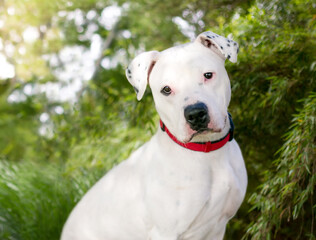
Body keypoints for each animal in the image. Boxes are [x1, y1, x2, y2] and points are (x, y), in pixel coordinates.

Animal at [61, 31, 248, 239]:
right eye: (166, 89)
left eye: (208, 75)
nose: (195, 114)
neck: (207, 152)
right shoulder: (165, 232)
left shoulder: (218, 228)